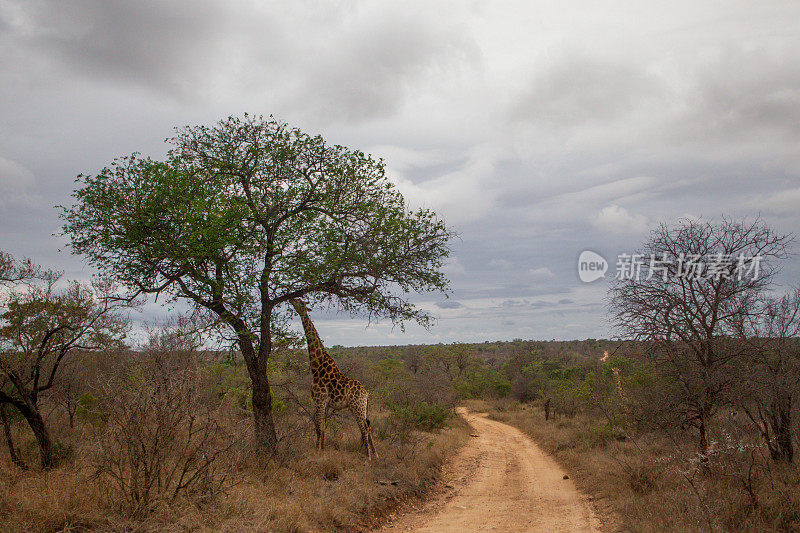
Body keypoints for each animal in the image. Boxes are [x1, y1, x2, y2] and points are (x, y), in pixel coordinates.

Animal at [288, 298, 378, 460]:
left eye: (299, 302)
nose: (291, 299)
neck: (316, 367)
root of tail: (366, 393)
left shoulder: (320, 399)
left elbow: (319, 426)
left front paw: (317, 451)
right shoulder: (321, 402)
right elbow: (321, 426)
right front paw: (322, 449)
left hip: (357, 406)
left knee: (364, 428)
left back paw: (368, 456)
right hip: (362, 407)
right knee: (368, 426)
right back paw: (376, 454)